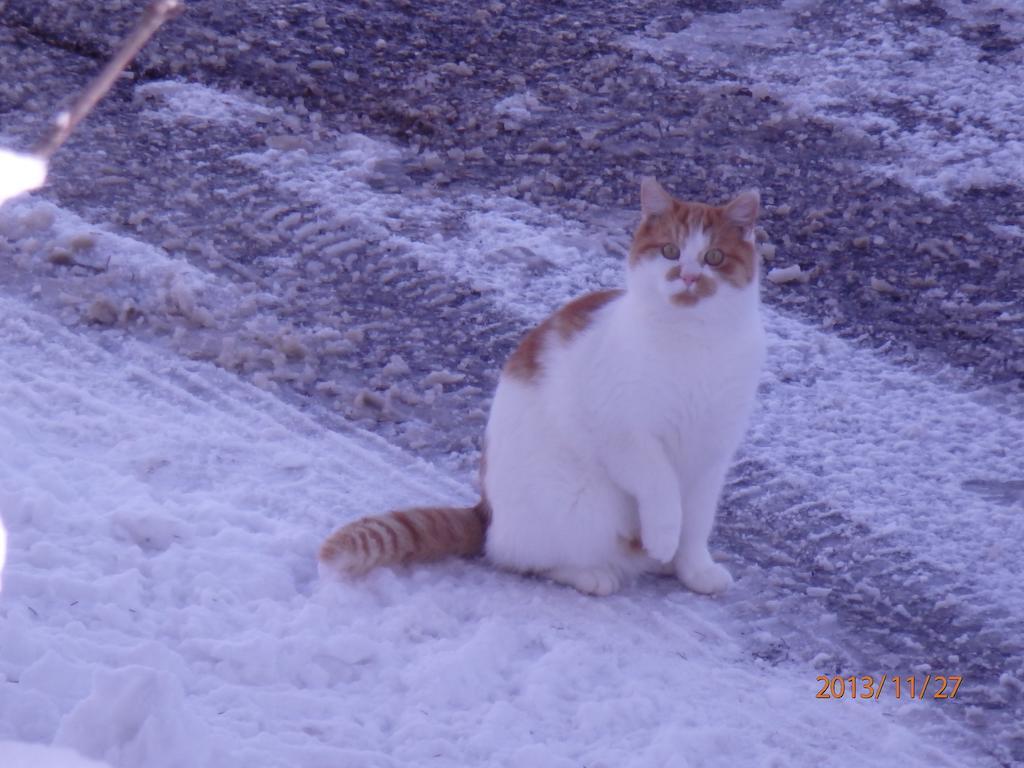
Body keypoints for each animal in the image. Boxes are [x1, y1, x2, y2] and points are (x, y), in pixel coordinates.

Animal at [315, 177, 765, 598]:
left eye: (714, 257)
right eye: (670, 251)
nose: (688, 277)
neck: (693, 343)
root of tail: (486, 511)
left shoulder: (712, 454)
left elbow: (697, 522)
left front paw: (693, 569)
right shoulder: (623, 433)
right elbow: (662, 488)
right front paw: (664, 537)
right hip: (582, 503)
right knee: (522, 558)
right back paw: (593, 574)